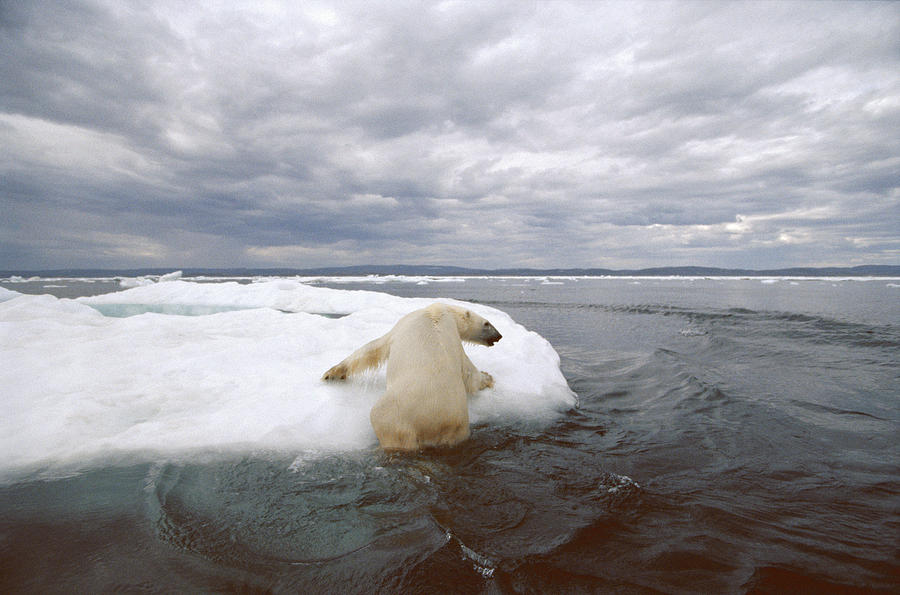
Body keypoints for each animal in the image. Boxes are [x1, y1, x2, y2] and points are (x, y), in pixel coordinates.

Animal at [322, 304, 502, 450]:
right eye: (487, 323)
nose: (499, 336)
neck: (438, 312)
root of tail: (436, 424)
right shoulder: (454, 343)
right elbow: (468, 372)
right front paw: (488, 377)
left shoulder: (403, 324)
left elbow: (373, 348)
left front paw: (330, 374)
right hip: (459, 429)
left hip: (396, 414)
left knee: (384, 423)